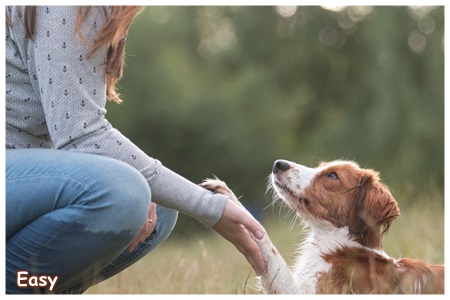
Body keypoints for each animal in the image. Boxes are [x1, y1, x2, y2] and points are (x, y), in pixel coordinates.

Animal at [202, 159, 444, 292]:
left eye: (333, 175)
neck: (338, 242)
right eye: (320, 167)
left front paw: (227, 197)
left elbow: (267, 247)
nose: (278, 164)